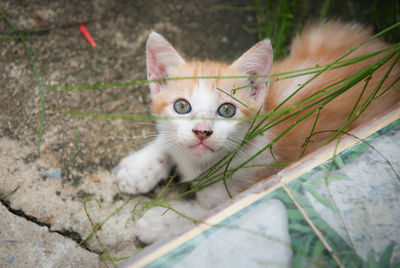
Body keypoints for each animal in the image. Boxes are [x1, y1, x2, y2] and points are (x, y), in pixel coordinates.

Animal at [115, 21, 400, 243]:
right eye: (182, 106)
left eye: (227, 110)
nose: (202, 131)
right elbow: (169, 138)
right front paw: (138, 169)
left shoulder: (246, 187)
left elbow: (203, 216)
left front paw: (157, 222)